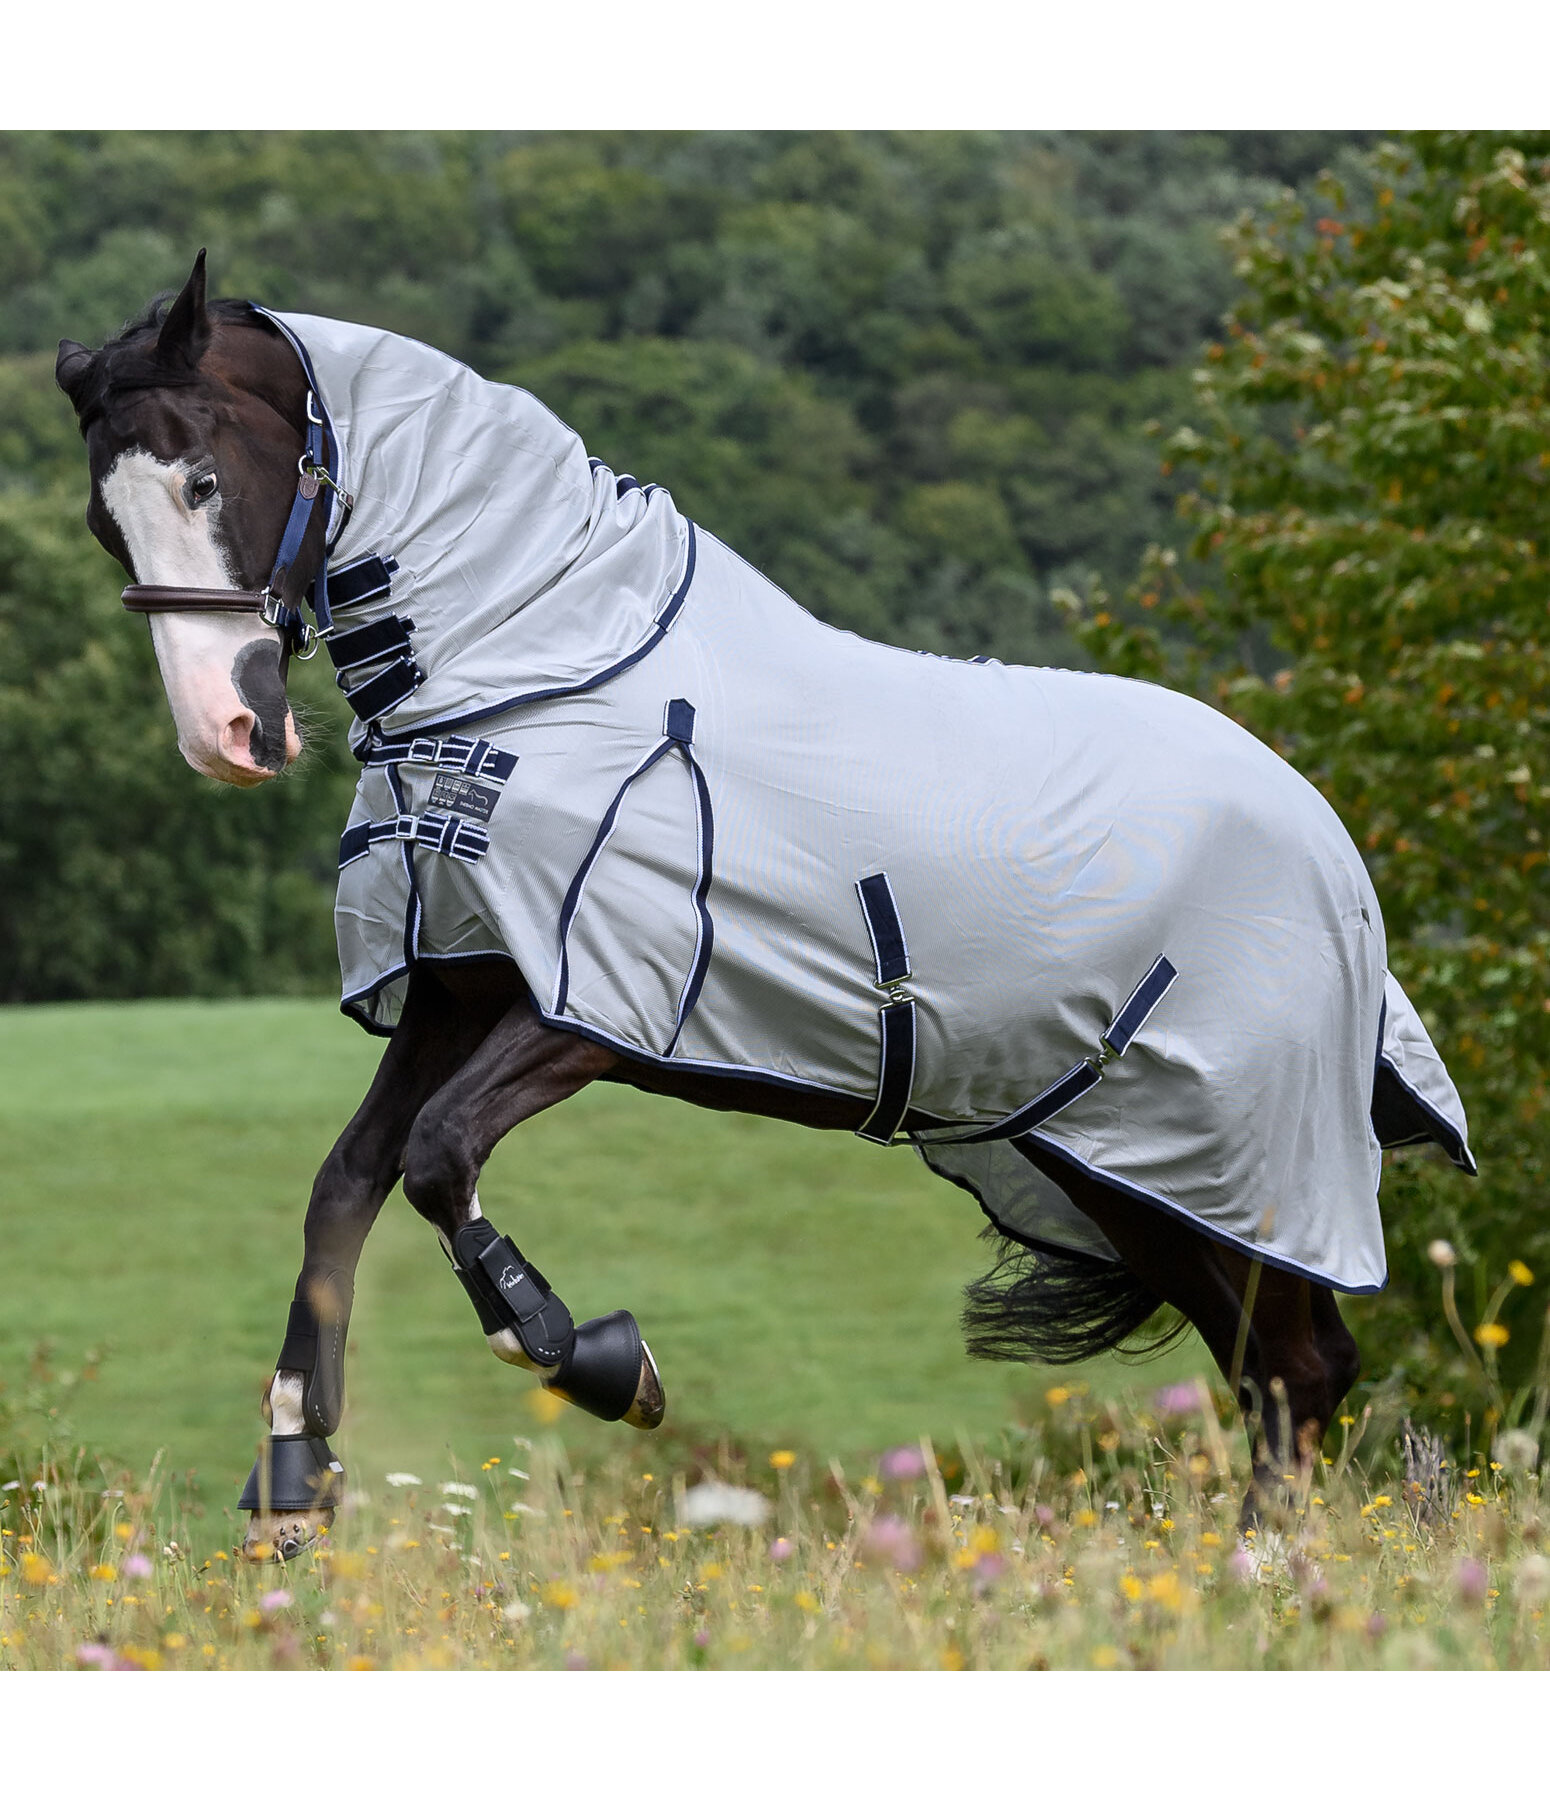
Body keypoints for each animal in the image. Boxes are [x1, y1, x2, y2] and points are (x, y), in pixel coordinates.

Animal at [54, 253, 1468, 1562]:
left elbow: (437, 1156)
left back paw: (1261, 1573)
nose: (228, 732)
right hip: (1123, 1165)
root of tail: (1332, 852)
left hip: (1230, 1159)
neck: (544, 673)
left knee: (1294, 1367)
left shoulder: (592, 1008)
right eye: (101, 521)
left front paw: (595, 1359)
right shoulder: (461, 982)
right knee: (1282, 1369)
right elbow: (343, 1185)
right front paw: (294, 1480)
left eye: (201, 481)